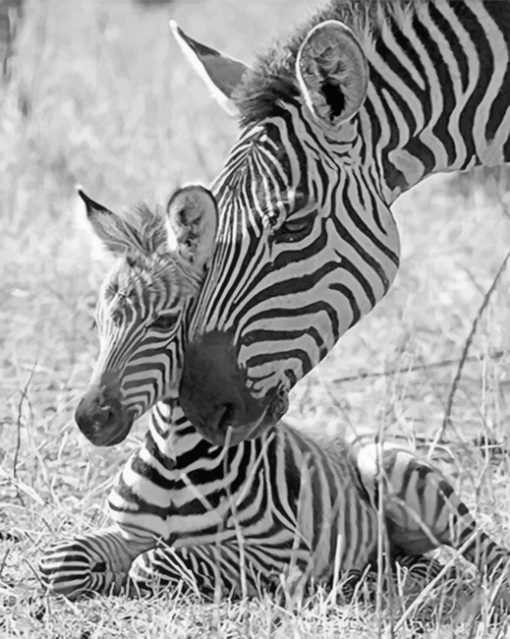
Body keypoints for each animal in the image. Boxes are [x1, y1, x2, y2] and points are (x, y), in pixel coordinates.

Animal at [38, 186, 510, 608]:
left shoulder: (280, 549)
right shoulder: (129, 532)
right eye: (98, 321)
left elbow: (159, 562)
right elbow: (58, 562)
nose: (90, 419)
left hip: (396, 472)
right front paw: (103, 575)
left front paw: (128, 576)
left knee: (486, 552)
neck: (175, 458)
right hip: (399, 541)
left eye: (165, 321)